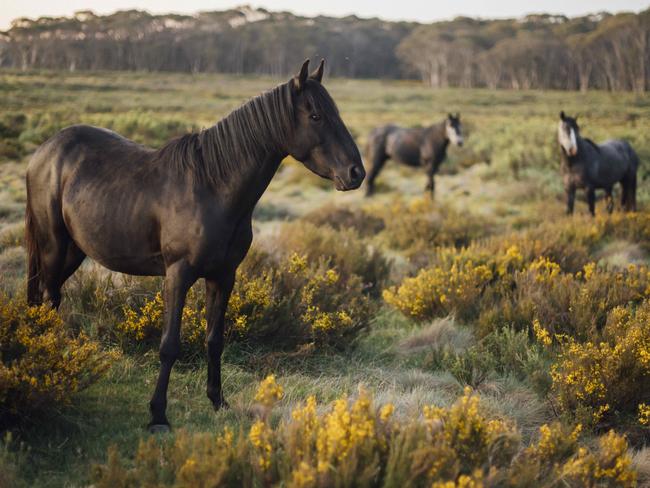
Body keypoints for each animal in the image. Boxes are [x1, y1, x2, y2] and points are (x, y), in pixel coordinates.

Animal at [24, 60, 364, 430]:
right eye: (315, 116)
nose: (356, 173)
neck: (212, 188)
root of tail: (45, 150)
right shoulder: (178, 274)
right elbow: (169, 345)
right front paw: (158, 414)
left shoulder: (223, 276)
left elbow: (214, 340)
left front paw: (218, 400)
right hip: (53, 246)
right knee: (49, 299)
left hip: (75, 250)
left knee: (47, 298)